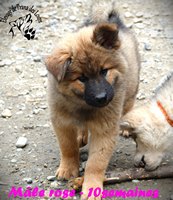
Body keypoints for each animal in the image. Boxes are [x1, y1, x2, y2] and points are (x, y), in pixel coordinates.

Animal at [45, 1, 140, 198]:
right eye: (82, 78)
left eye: (104, 71)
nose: (102, 98)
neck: (82, 105)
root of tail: (115, 22)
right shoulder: (61, 121)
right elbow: (67, 147)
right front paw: (67, 168)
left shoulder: (105, 129)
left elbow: (95, 163)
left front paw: (91, 187)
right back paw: (81, 135)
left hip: (130, 92)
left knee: (127, 108)